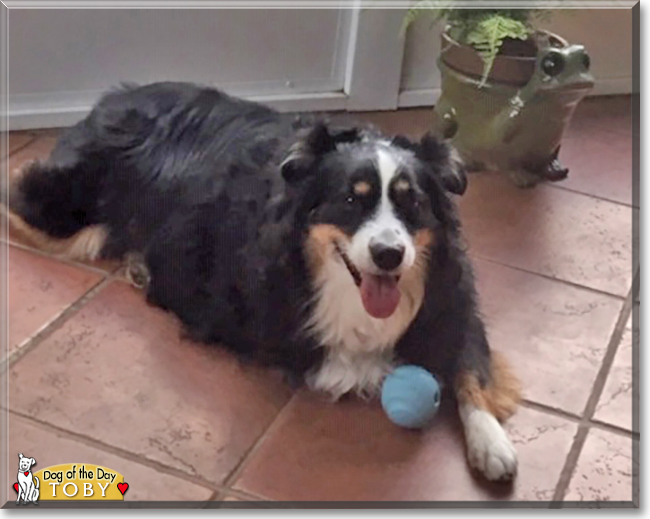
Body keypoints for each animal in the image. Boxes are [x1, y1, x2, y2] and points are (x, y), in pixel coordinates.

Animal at [5, 82, 520, 484]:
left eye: (411, 202)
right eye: (351, 201)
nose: (390, 255)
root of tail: (113, 97)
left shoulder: (455, 300)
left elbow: (470, 366)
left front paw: (491, 442)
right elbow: (343, 355)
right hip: (61, 209)